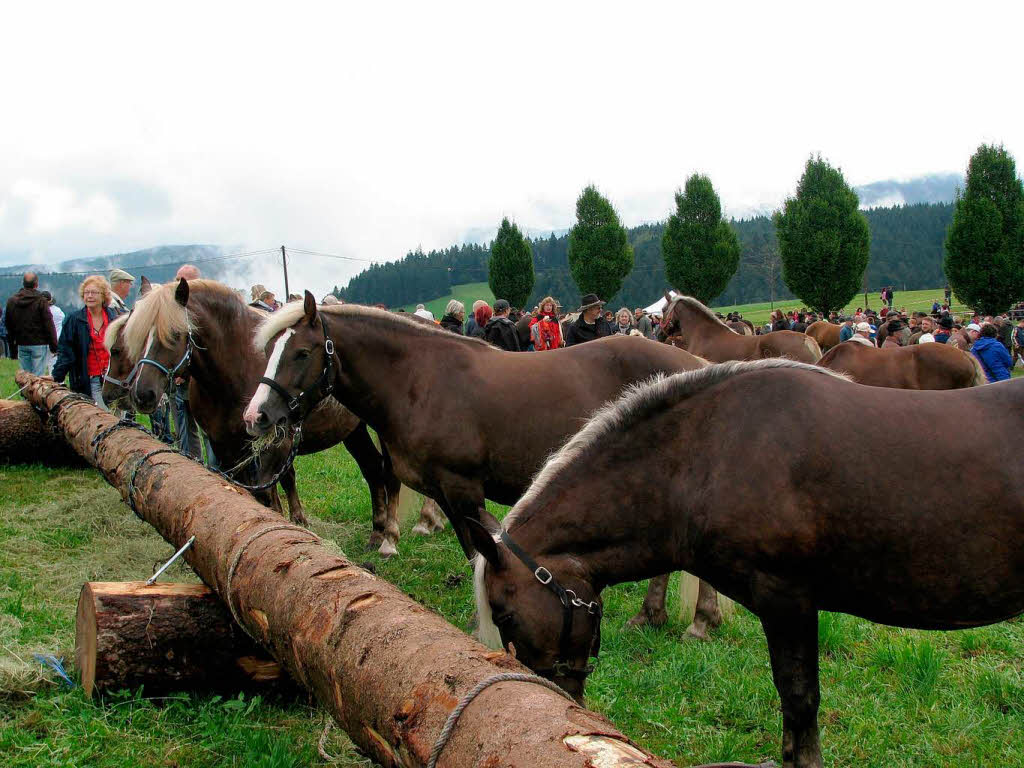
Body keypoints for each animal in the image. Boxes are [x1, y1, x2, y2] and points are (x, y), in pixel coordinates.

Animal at [117, 282, 405, 552]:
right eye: (137, 334)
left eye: (176, 334)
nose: (143, 394)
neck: (232, 370)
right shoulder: (225, 446)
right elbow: (249, 493)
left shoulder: (275, 445)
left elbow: (268, 494)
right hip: (353, 431)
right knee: (371, 467)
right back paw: (377, 531)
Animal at [244, 292, 716, 626]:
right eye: (272, 351)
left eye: (301, 352)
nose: (256, 415)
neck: (421, 381)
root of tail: (692, 362)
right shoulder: (446, 494)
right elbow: (474, 553)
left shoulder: (463, 489)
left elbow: (479, 556)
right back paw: (664, 616)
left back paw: (689, 620)